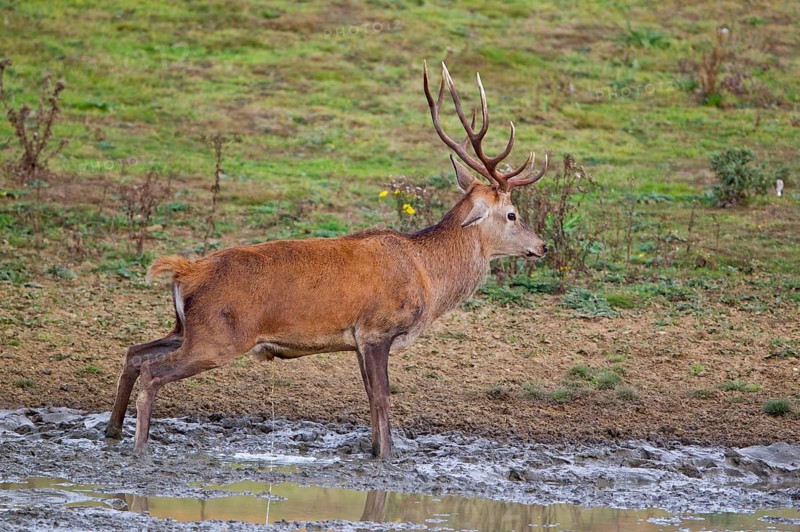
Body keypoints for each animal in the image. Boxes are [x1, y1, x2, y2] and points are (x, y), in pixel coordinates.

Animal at [105, 62, 549, 459]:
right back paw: (139, 448)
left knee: (134, 352)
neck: (427, 275)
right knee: (153, 371)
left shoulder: (357, 341)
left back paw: (112, 432)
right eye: (512, 214)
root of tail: (187, 271)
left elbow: (370, 398)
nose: (542, 246)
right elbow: (382, 399)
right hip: (218, 336)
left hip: (186, 327)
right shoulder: (377, 329)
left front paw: (374, 449)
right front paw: (388, 456)